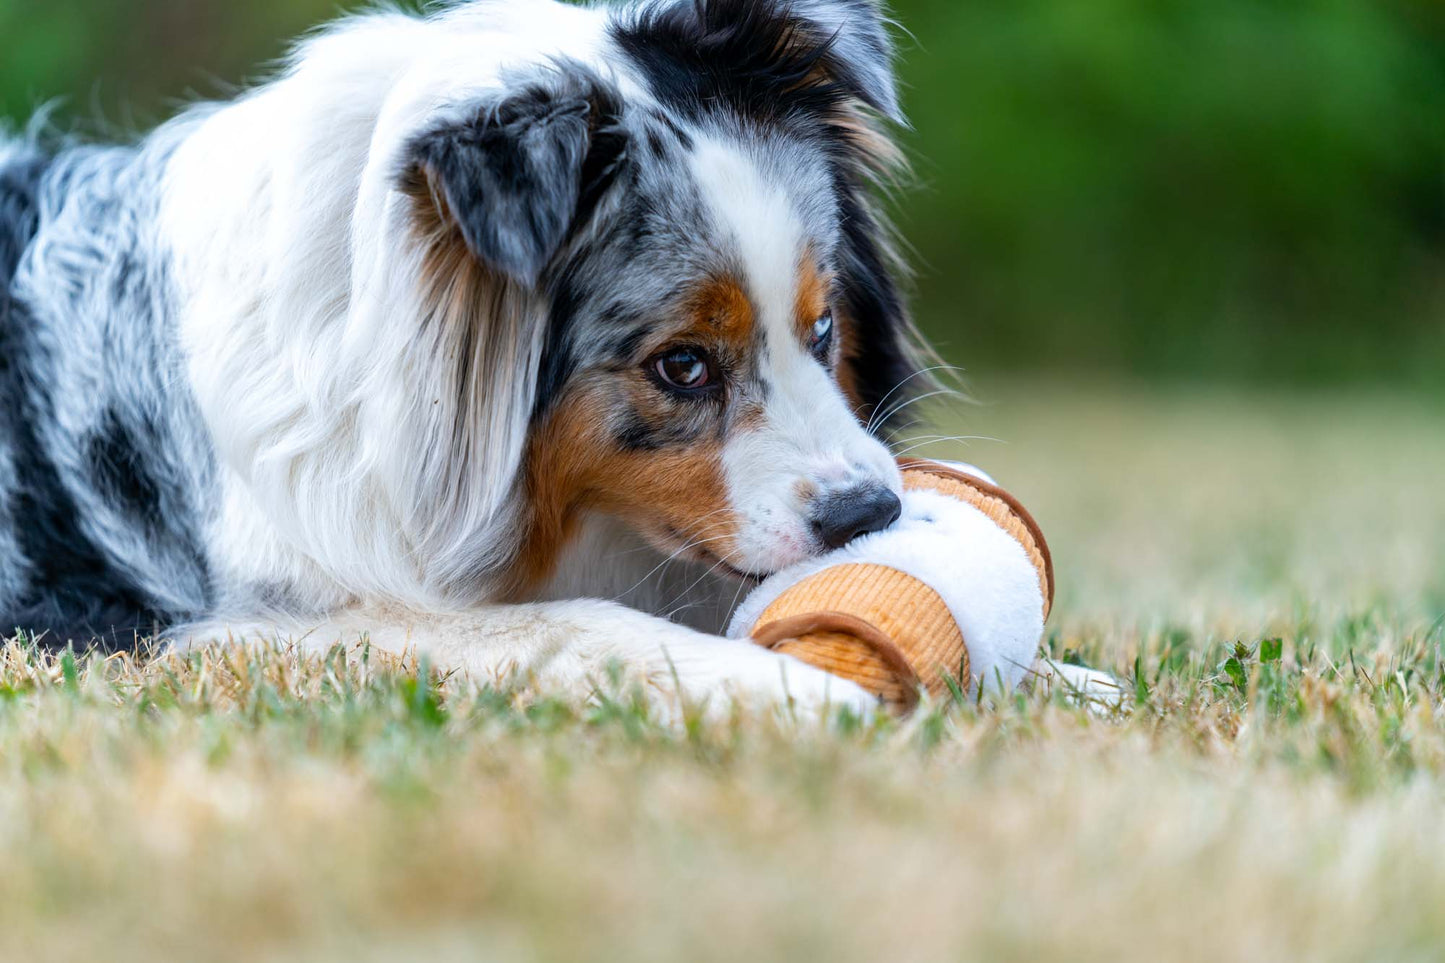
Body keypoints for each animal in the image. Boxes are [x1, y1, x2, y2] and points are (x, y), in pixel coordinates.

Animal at [0, 0, 971, 711]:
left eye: (823, 326)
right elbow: (563, 624)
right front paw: (793, 688)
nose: (868, 513)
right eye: (682, 364)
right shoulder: (233, 619)